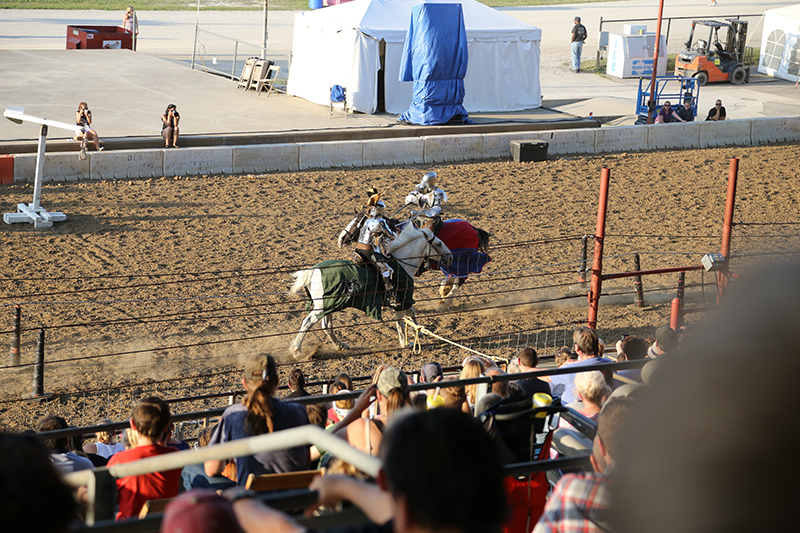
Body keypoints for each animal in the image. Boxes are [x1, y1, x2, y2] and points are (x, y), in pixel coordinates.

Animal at [288, 224, 450, 358]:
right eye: (438, 243)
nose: (450, 256)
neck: (402, 263)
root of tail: (314, 270)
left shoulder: (406, 300)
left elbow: (412, 313)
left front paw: (420, 332)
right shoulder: (402, 300)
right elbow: (401, 322)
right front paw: (405, 343)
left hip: (329, 305)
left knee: (326, 326)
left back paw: (340, 345)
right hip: (322, 306)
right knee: (307, 322)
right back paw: (296, 350)